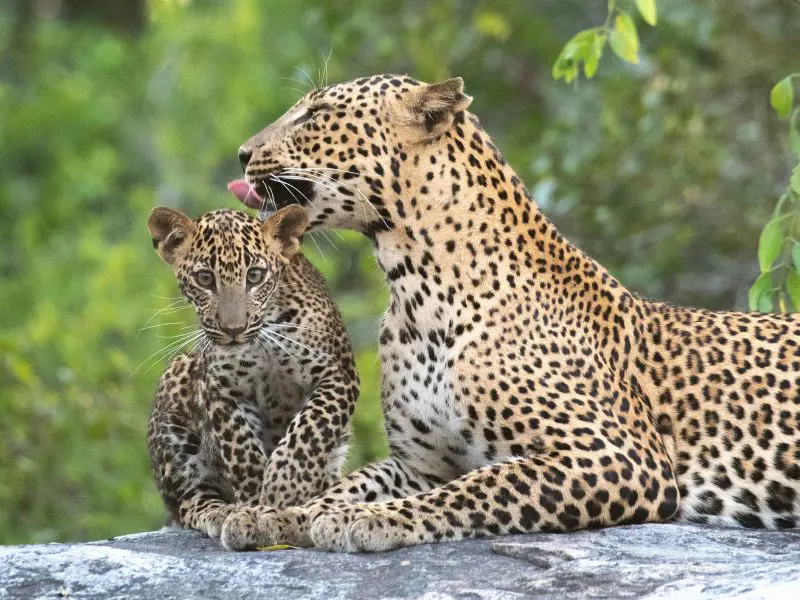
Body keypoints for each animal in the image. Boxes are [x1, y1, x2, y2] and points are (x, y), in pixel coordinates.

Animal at [223, 72, 800, 552]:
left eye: (315, 114)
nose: (242, 154)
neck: (415, 291)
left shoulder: (621, 457)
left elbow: (479, 485)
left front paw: (367, 520)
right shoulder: (423, 463)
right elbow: (355, 482)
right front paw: (275, 514)